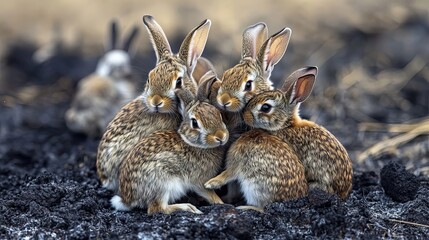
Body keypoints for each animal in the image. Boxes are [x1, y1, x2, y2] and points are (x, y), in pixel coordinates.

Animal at [112, 87, 229, 215]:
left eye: (219, 115)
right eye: (194, 123)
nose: (220, 137)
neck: (190, 142)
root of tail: (127, 200)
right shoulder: (199, 181)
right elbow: (209, 194)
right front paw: (221, 203)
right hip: (162, 182)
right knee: (157, 208)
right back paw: (188, 207)